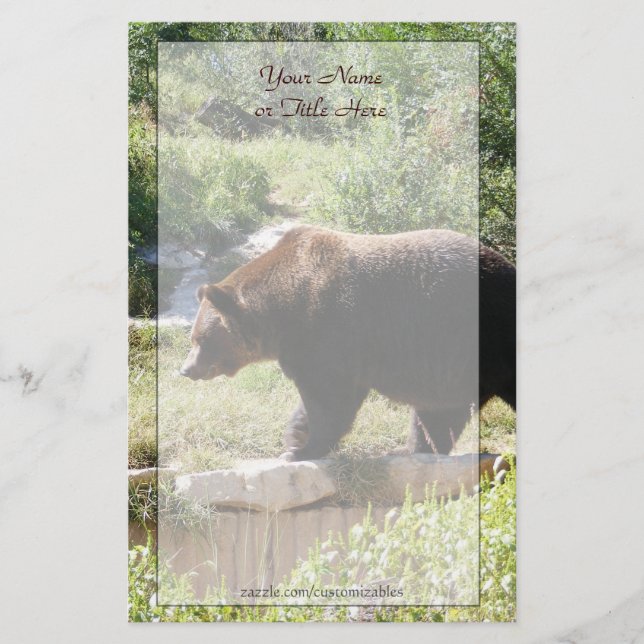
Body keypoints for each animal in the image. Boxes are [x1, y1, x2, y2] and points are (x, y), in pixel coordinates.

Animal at [180, 225, 515, 461]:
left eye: (200, 340)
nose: (186, 369)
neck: (283, 309)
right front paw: (294, 439)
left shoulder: (328, 332)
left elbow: (329, 398)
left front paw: (301, 450)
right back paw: (411, 449)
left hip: (475, 341)